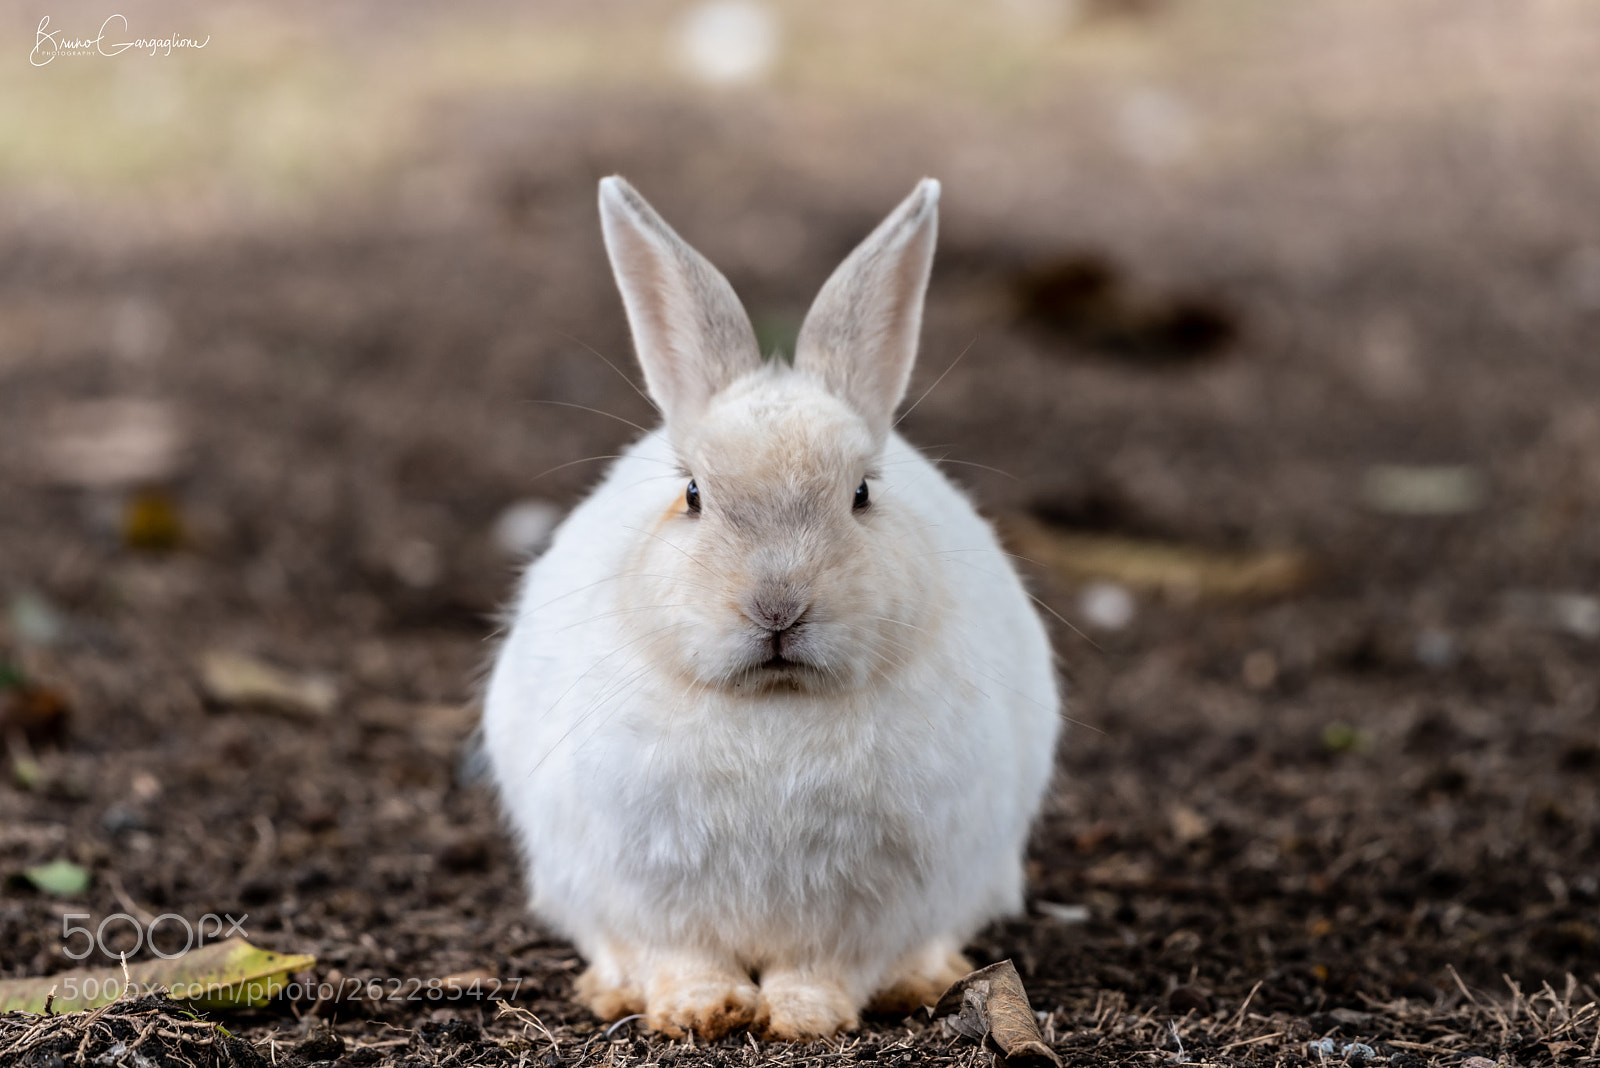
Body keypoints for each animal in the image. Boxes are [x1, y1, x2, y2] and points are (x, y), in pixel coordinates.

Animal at [482, 176, 1061, 1042]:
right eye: (693, 494)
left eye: (862, 494)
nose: (778, 606)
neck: (773, 700)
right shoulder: (650, 894)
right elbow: (683, 956)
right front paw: (700, 1012)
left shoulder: (866, 912)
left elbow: (823, 968)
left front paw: (803, 1019)